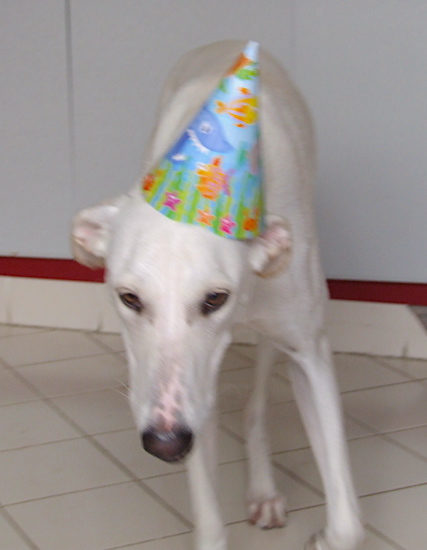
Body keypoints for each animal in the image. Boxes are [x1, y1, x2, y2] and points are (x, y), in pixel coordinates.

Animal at [71, 40, 364, 550]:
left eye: (215, 299)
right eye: (129, 298)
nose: (164, 444)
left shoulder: (310, 352)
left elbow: (349, 523)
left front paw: (326, 537)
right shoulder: (190, 399)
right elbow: (208, 519)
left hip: (271, 337)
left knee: (257, 404)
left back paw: (263, 489)